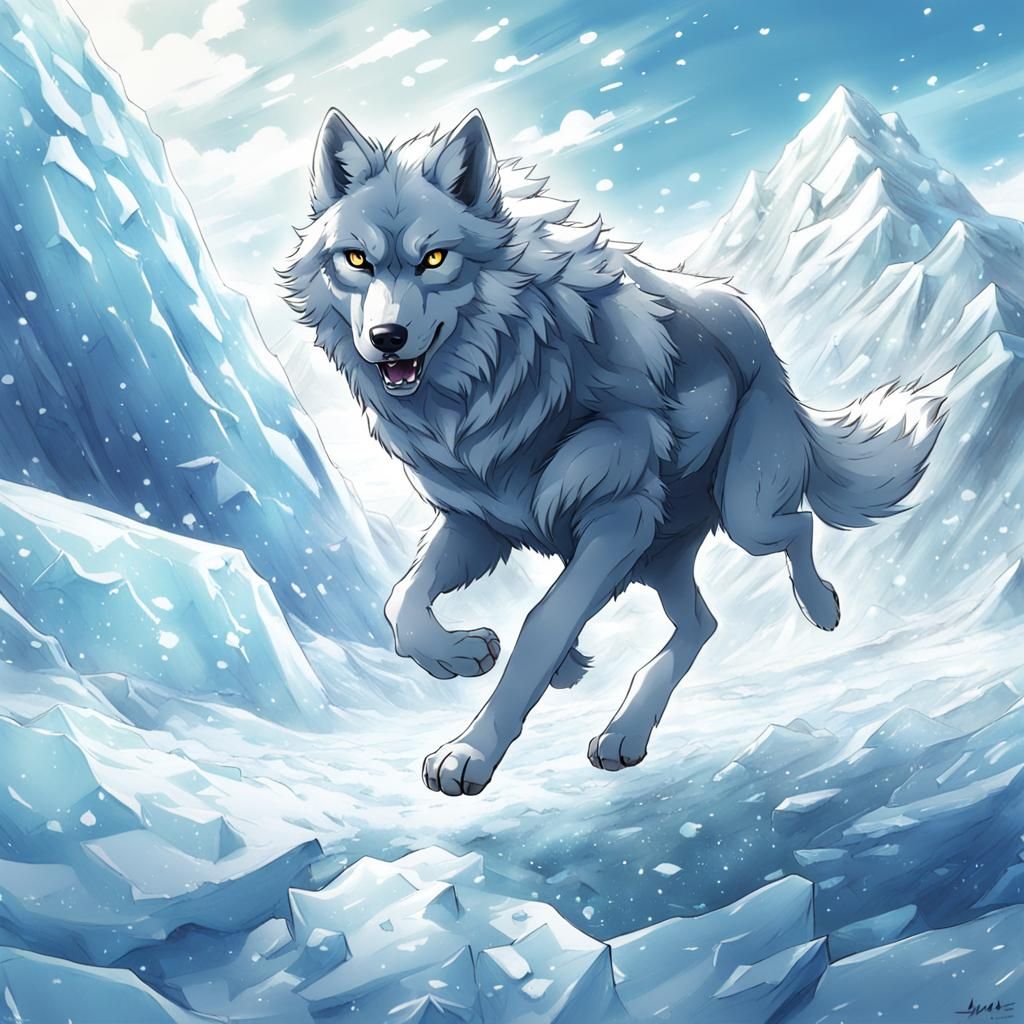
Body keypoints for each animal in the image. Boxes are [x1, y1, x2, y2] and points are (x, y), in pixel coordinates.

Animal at [282, 107, 945, 797]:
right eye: (356, 259)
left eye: (434, 258)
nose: (387, 337)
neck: (507, 383)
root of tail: (768, 346)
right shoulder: (477, 523)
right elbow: (402, 603)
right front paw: (461, 653)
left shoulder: (616, 517)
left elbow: (541, 624)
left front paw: (471, 750)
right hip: (658, 557)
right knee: (702, 623)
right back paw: (623, 728)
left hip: (742, 514)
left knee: (798, 527)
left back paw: (820, 608)